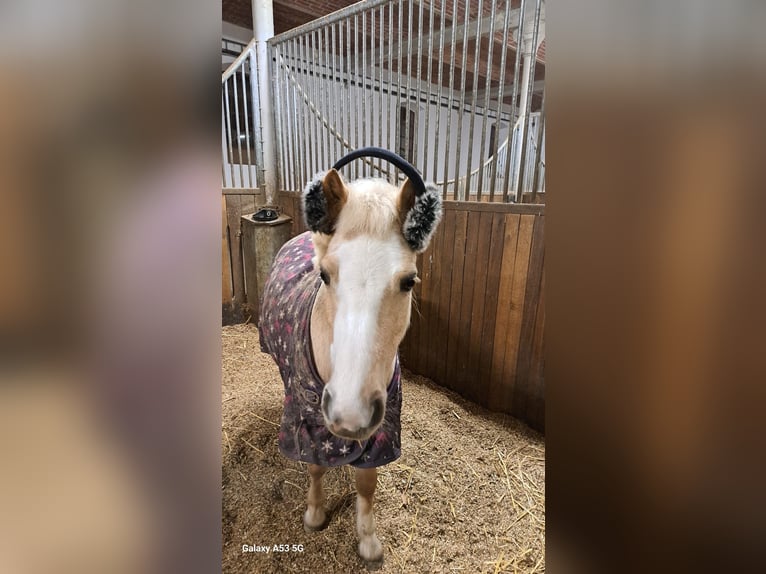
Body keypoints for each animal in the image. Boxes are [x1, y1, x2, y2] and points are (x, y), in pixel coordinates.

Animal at [260, 148, 444, 568]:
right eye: (325, 275)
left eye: (408, 281)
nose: (349, 412)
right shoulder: (308, 424)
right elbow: (315, 466)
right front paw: (315, 514)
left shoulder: (381, 428)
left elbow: (366, 483)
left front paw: (368, 541)